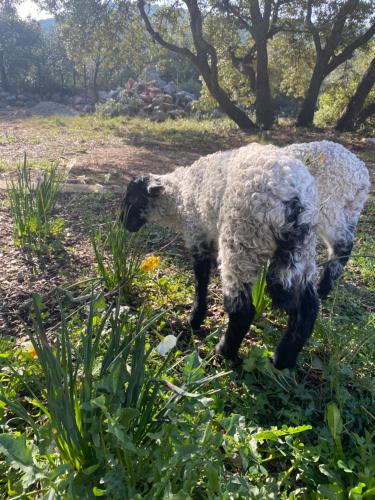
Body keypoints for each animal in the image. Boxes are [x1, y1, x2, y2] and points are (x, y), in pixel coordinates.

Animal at [121, 145, 320, 372]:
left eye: (133, 198)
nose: (122, 222)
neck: (180, 195)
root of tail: (293, 202)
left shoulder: (198, 234)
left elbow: (201, 281)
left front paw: (195, 319)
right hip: (303, 251)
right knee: (308, 309)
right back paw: (282, 361)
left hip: (241, 241)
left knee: (242, 310)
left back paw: (224, 352)